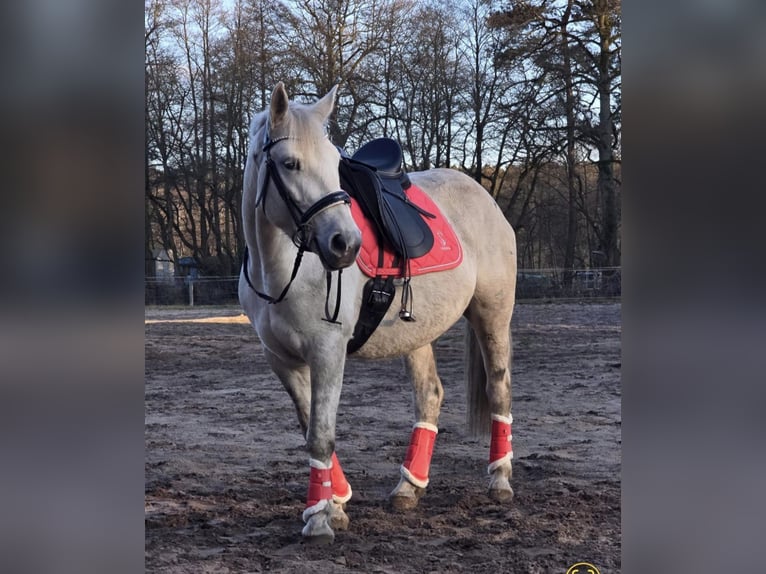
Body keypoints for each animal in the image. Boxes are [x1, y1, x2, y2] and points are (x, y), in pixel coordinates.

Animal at [239, 82, 517, 543]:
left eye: (335, 165)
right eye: (290, 163)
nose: (346, 244)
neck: (283, 268)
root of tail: (484, 197)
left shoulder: (328, 352)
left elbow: (321, 435)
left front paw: (320, 520)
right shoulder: (281, 360)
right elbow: (309, 426)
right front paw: (334, 502)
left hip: (492, 315)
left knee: (499, 388)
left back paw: (500, 479)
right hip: (417, 334)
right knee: (430, 396)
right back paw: (408, 486)